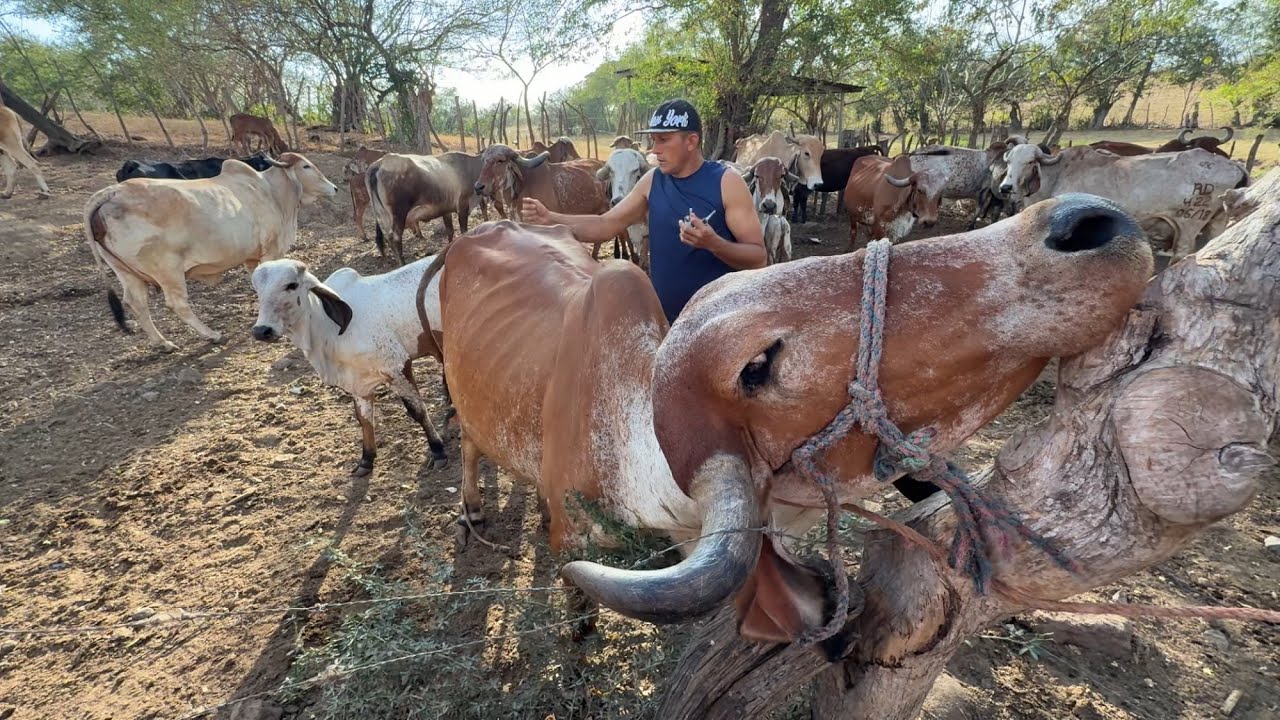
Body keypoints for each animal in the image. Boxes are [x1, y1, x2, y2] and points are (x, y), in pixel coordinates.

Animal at [84, 153, 337, 351]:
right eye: (306, 166)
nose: (334, 188)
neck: (271, 191)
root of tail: (111, 192)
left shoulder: (251, 258)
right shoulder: (270, 251)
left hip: (126, 272)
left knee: (135, 303)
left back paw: (163, 343)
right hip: (168, 270)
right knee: (177, 303)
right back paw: (212, 335)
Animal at [250, 255, 448, 476]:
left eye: (291, 285)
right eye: (256, 289)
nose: (261, 331)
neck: (325, 327)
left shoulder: (397, 366)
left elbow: (417, 411)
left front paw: (438, 450)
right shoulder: (358, 383)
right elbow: (364, 419)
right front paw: (366, 460)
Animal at [427, 195, 1153, 644]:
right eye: (757, 364)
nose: (1084, 223)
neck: (631, 446)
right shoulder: (571, 542)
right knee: (469, 442)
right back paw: (472, 505)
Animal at [1000, 144, 1249, 260]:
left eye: (1029, 161)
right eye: (1009, 161)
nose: (1005, 187)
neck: (1057, 174)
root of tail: (1234, 164)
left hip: (1189, 223)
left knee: (1182, 252)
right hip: (1216, 221)